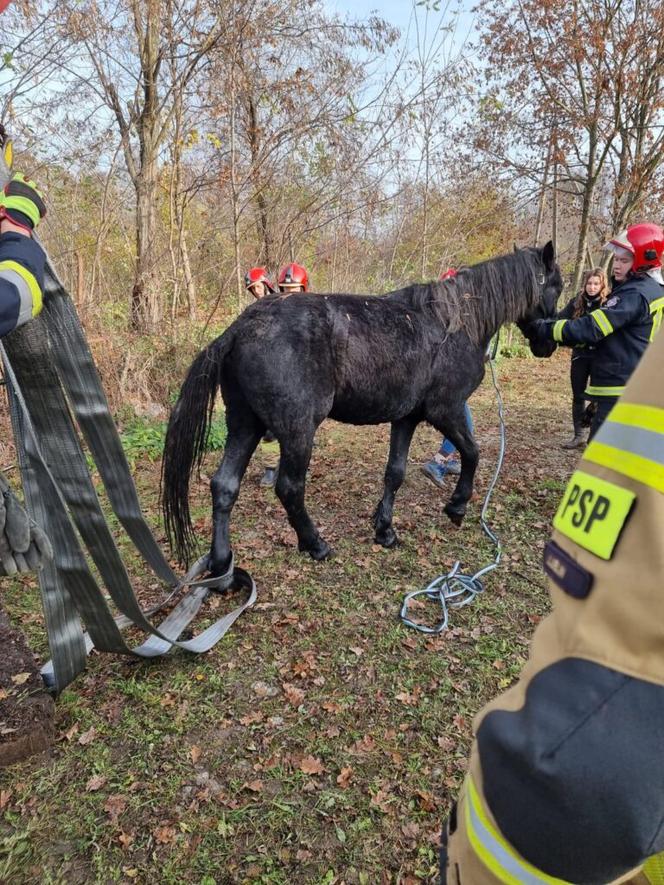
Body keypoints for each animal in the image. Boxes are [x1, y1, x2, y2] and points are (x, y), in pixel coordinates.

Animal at [161, 242, 560, 572]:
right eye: (555, 285)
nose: (548, 345)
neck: (455, 322)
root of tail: (241, 327)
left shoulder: (407, 418)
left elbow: (395, 473)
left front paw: (385, 530)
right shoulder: (446, 410)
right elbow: (473, 453)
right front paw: (457, 507)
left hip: (246, 425)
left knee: (224, 486)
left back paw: (221, 563)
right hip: (297, 431)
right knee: (289, 487)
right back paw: (315, 544)